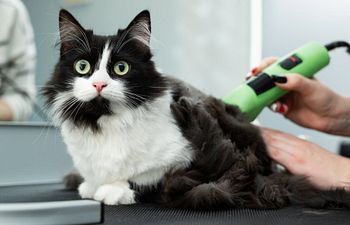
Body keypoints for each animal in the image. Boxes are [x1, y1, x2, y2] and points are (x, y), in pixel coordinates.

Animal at [43, 8, 350, 209]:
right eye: (83, 66)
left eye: (121, 68)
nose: (99, 85)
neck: (105, 122)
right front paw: (90, 185)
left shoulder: (179, 163)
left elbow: (151, 182)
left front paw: (113, 190)